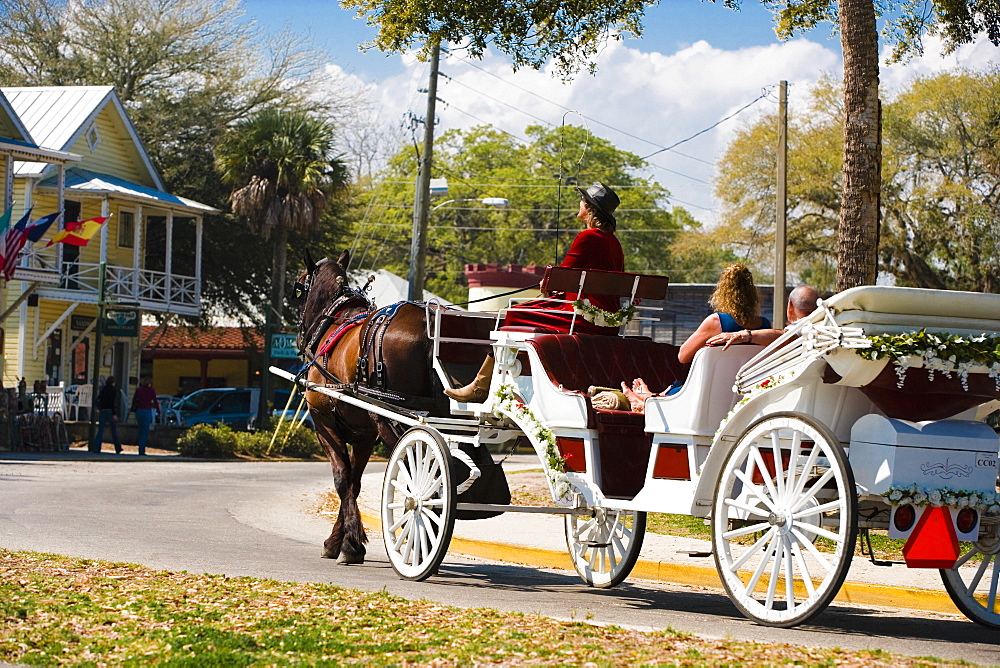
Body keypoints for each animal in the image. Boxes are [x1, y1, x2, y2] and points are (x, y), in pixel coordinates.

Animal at [294, 249, 440, 564]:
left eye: (298, 289)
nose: (299, 335)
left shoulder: (323, 422)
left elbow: (341, 479)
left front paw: (347, 545)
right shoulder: (363, 435)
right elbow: (354, 482)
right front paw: (344, 540)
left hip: (395, 421)